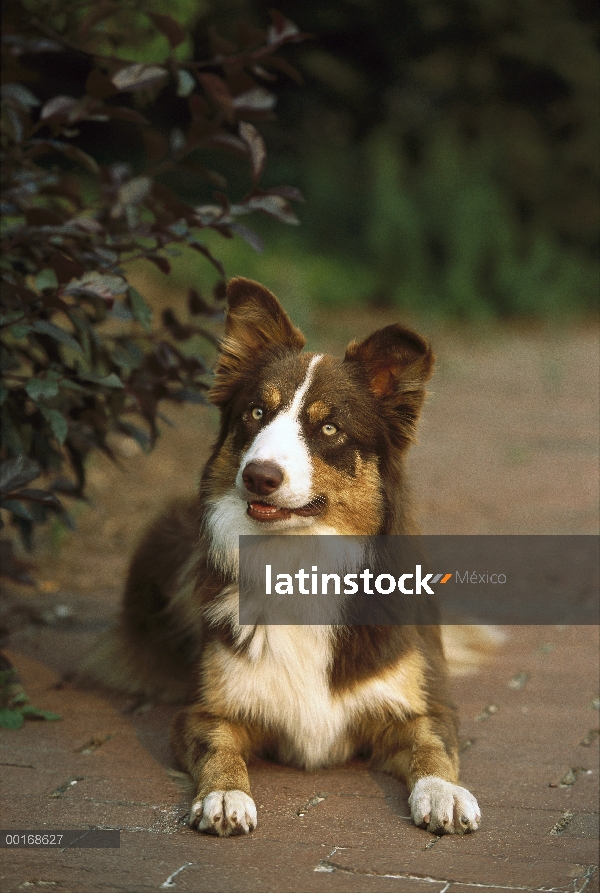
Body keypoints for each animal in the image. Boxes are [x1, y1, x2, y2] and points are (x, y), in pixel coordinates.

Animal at [82, 278, 480, 836]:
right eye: (256, 413)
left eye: (329, 429)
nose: (259, 476)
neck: (298, 558)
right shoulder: (205, 712)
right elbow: (220, 750)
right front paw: (225, 795)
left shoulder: (422, 708)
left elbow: (434, 747)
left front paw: (445, 792)